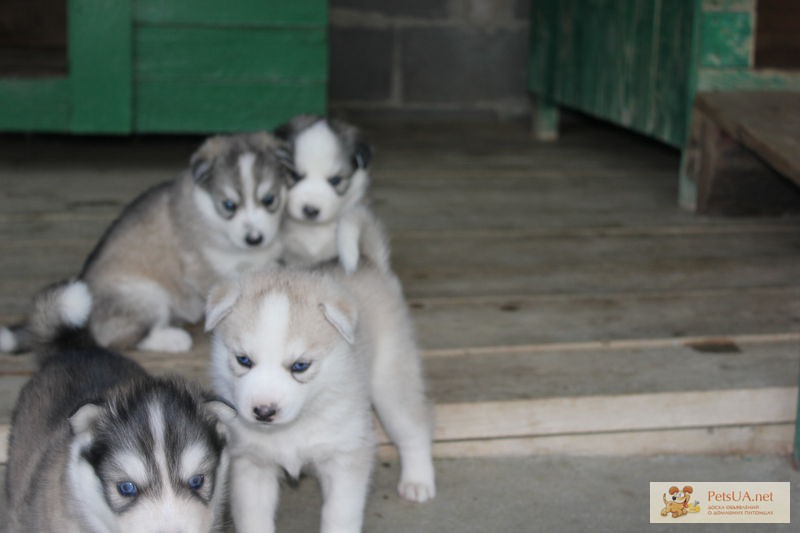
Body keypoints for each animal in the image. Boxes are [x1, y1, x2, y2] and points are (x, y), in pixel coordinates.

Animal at [1, 131, 290, 354]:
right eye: (229, 205)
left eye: (269, 200)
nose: (255, 239)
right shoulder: (204, 270)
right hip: (147, 296)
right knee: (117, 339)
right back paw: (172, 338)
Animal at [203, 266, 434, 532]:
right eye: (243, 360)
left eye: (300, 366)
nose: (264, 412)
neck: (293, 427)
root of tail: (369, 268)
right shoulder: (251, 463)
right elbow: (254, 518)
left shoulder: (345, 457)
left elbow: (340, 514)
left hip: (391, 387)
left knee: (414, 430)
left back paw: (418, 480)